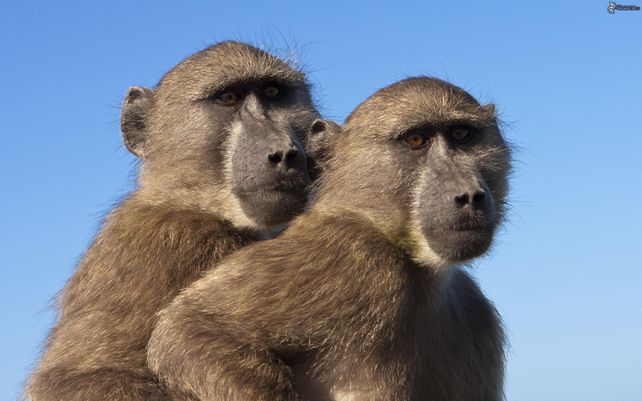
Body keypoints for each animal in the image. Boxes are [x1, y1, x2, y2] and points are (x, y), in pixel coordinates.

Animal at [25, 41, 327, 401]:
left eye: (273, 92)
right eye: (228, 98)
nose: (283, 153)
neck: (191, 202)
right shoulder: (173, 247)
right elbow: (82, 378)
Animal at [147, 76, 512, 401]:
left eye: (462, 134)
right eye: (416, 141)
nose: (470, 195)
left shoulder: (478, 316)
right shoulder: (353, 257)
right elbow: (188, 329)